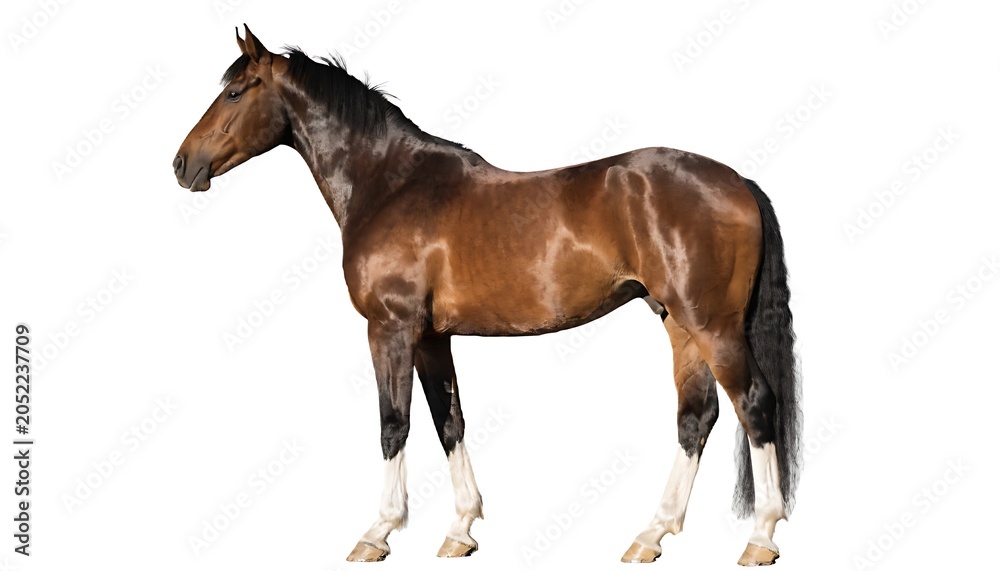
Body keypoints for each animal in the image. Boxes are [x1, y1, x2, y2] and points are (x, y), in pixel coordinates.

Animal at [173, 25, 801, 566]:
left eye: (233, 92)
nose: (182, 164)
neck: (390, 183)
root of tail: (738, 182)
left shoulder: (390, 328)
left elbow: (393, 423)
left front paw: (378, 532)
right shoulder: (431, 338)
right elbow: (448, 421)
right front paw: (460, 529)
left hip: (712, 325)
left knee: (754, 404)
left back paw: (760, 538)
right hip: (678, 322)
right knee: (697, 415)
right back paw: (651, 534)